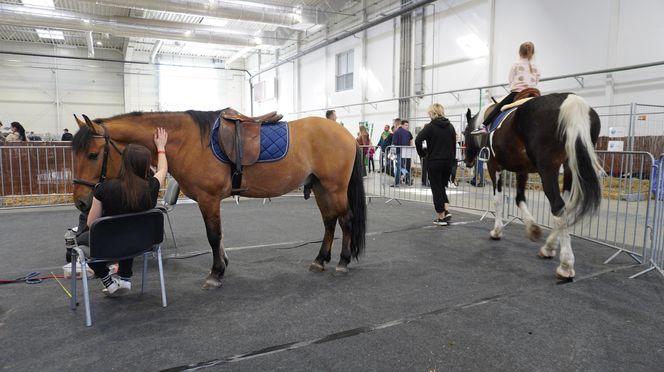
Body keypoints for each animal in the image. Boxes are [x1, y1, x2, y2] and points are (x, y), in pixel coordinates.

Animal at [71, 109, 368, 290]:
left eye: (93, 155)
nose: (81, 203)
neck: (188, 141)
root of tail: (346, 135)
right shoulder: (211, 201)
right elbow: (220, 235)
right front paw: (223, 264)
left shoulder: (208, 199)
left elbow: (213, 236)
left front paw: (215, 273)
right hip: (320, 188)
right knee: (329, 222)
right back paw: (320, 260)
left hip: (334, 188)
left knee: (346, 220)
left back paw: (342, 262)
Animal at [464, 93, 604, 282]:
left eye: (464, 133)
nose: (467, 161)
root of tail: (571, 101)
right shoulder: (522, 170)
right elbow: (519, 198)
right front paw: (532, 228)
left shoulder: (494, 167)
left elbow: (498, 199)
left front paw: (497, 231)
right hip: (568, 166)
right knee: (565, 207)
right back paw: (549, 247)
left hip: (548, 169)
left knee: (558, 206)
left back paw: (566, 265)